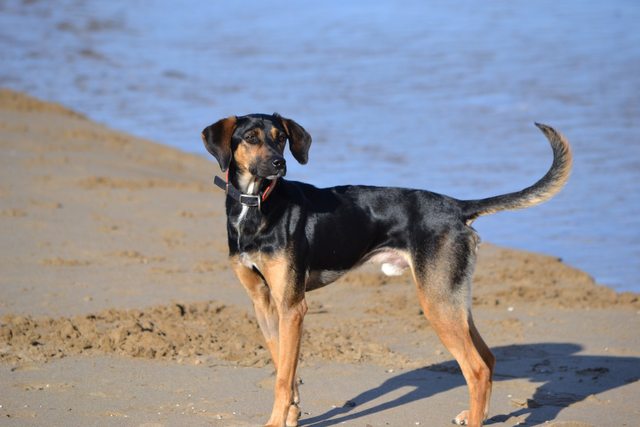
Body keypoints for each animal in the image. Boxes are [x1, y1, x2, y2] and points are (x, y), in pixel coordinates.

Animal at [202, 114, 572, 427]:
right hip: (452, 299)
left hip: (437, 302)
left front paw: (278, 420)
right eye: (251, 138)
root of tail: (456, 207)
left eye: (281, 138)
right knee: (489, 359)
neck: (257, 205)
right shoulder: (264, 303)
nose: (280, 164)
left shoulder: (292, 306)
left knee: (478, 369)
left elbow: (282, 376)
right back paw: (474, 414)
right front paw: (292, 414)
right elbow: (284, 367)